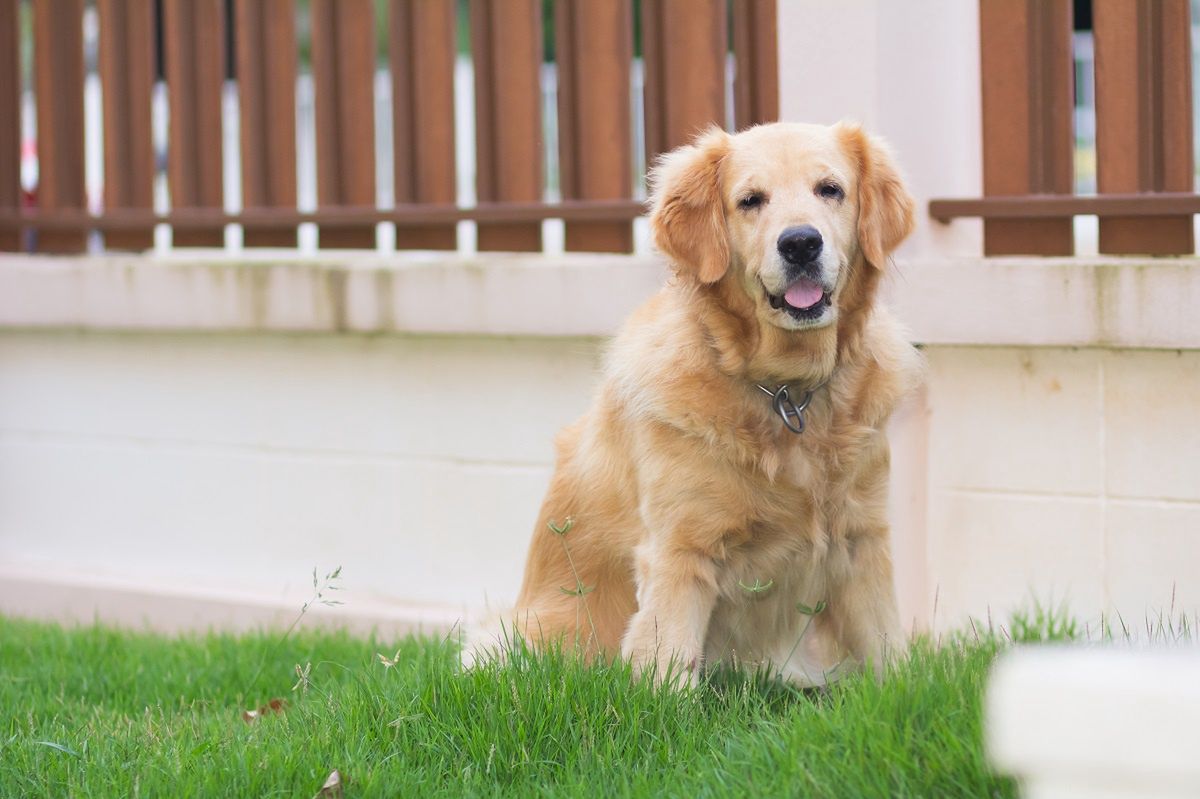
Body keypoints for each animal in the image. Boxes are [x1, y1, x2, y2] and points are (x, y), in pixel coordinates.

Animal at [468, 121, 916, 681]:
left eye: (830, 189)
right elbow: (666, 669)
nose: (800, 243)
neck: (786, 391)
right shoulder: (680, 552)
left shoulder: (863, 537)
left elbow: (889, 655)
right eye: (750, 200)